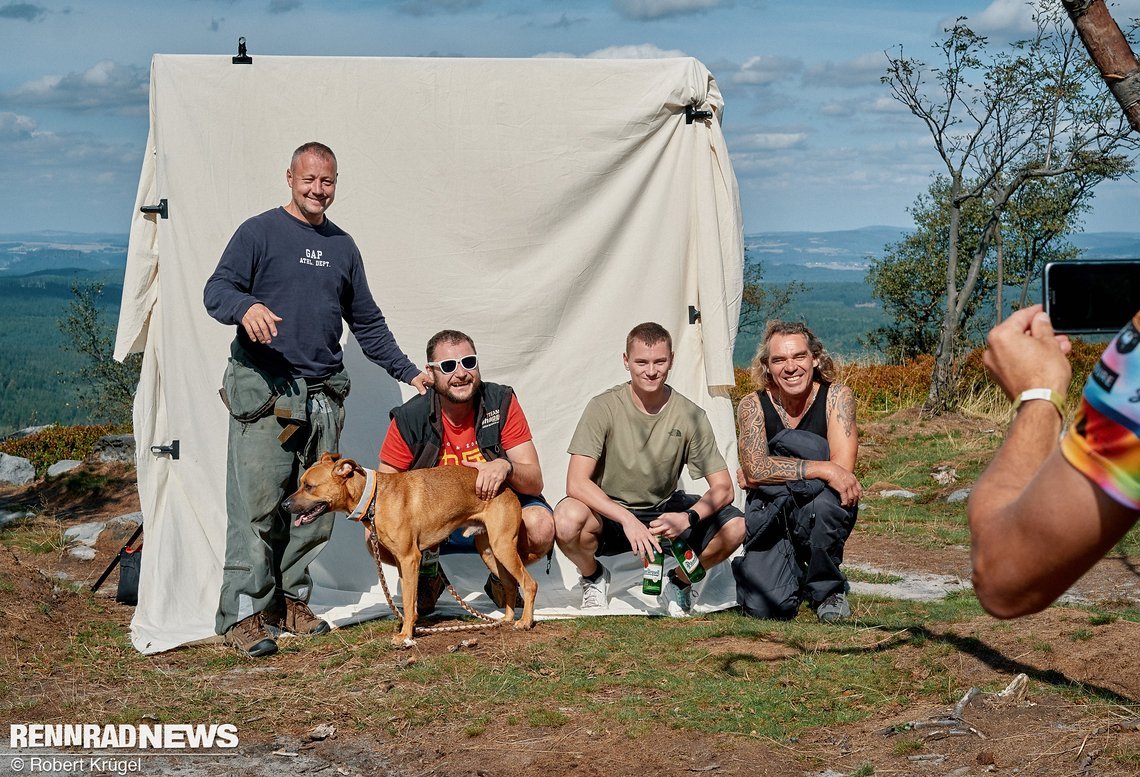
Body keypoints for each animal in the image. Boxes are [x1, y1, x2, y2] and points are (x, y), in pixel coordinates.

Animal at [282, 451, 535, 642]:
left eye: (309, 486)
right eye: (301, 484)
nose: (284, 505)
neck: (375, 497)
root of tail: (507, 488)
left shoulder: (410, 558)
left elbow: (407, 602)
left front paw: (405, 636)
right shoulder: (402, 563)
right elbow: (408, 601)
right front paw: (410, 628)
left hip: (503, 547)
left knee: (529, 584)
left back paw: (525, 622)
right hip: (491, 552)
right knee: (510, 585)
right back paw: (507, 619)